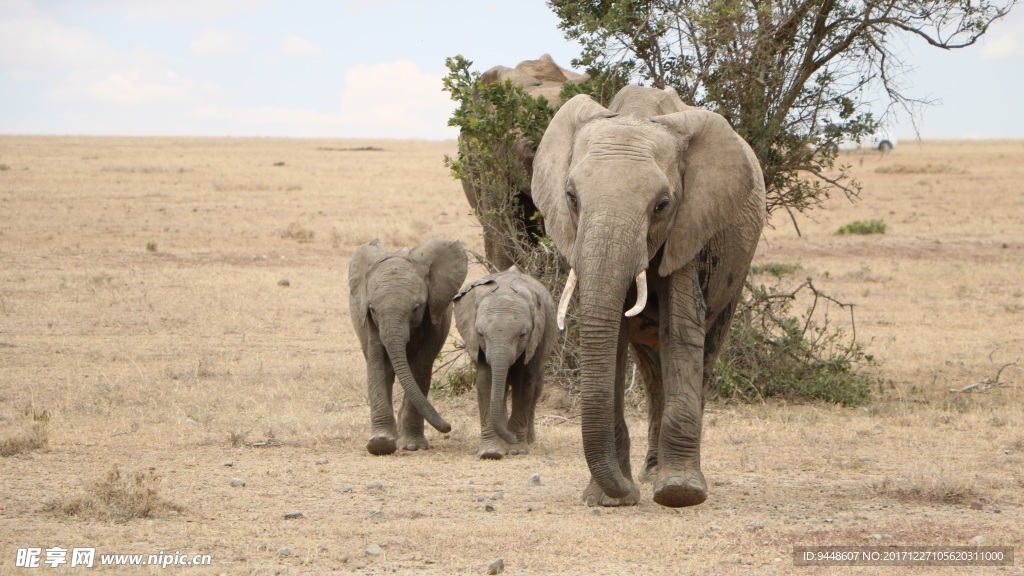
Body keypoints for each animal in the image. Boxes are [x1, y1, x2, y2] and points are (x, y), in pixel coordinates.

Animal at [348, 236, 468, 453]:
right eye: (372, 309)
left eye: (416, 308)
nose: (447, 427)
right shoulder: (370, 322)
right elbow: (378, 363)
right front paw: (380, 443)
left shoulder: (433, 316)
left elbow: (421, 367)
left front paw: (412, 446)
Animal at [452, 264, 557, 457]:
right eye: (480, 334)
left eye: (522, 334)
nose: (511, 438)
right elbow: (486, 382)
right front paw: (491, 451)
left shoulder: (536, 338)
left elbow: (524, 384)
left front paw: (516, 449)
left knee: (537, 387)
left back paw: (527, 440)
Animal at [532, 85, 765, 506]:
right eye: (571, 197)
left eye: (662, 205)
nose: (629, 493)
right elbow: (613, 338)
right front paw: (607, 499)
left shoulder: (690, 224)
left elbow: (681, 326)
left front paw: (679, 493)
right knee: (652, 369)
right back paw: (650, 471)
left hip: (736, 273)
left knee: (704, 352)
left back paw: (662, 476)